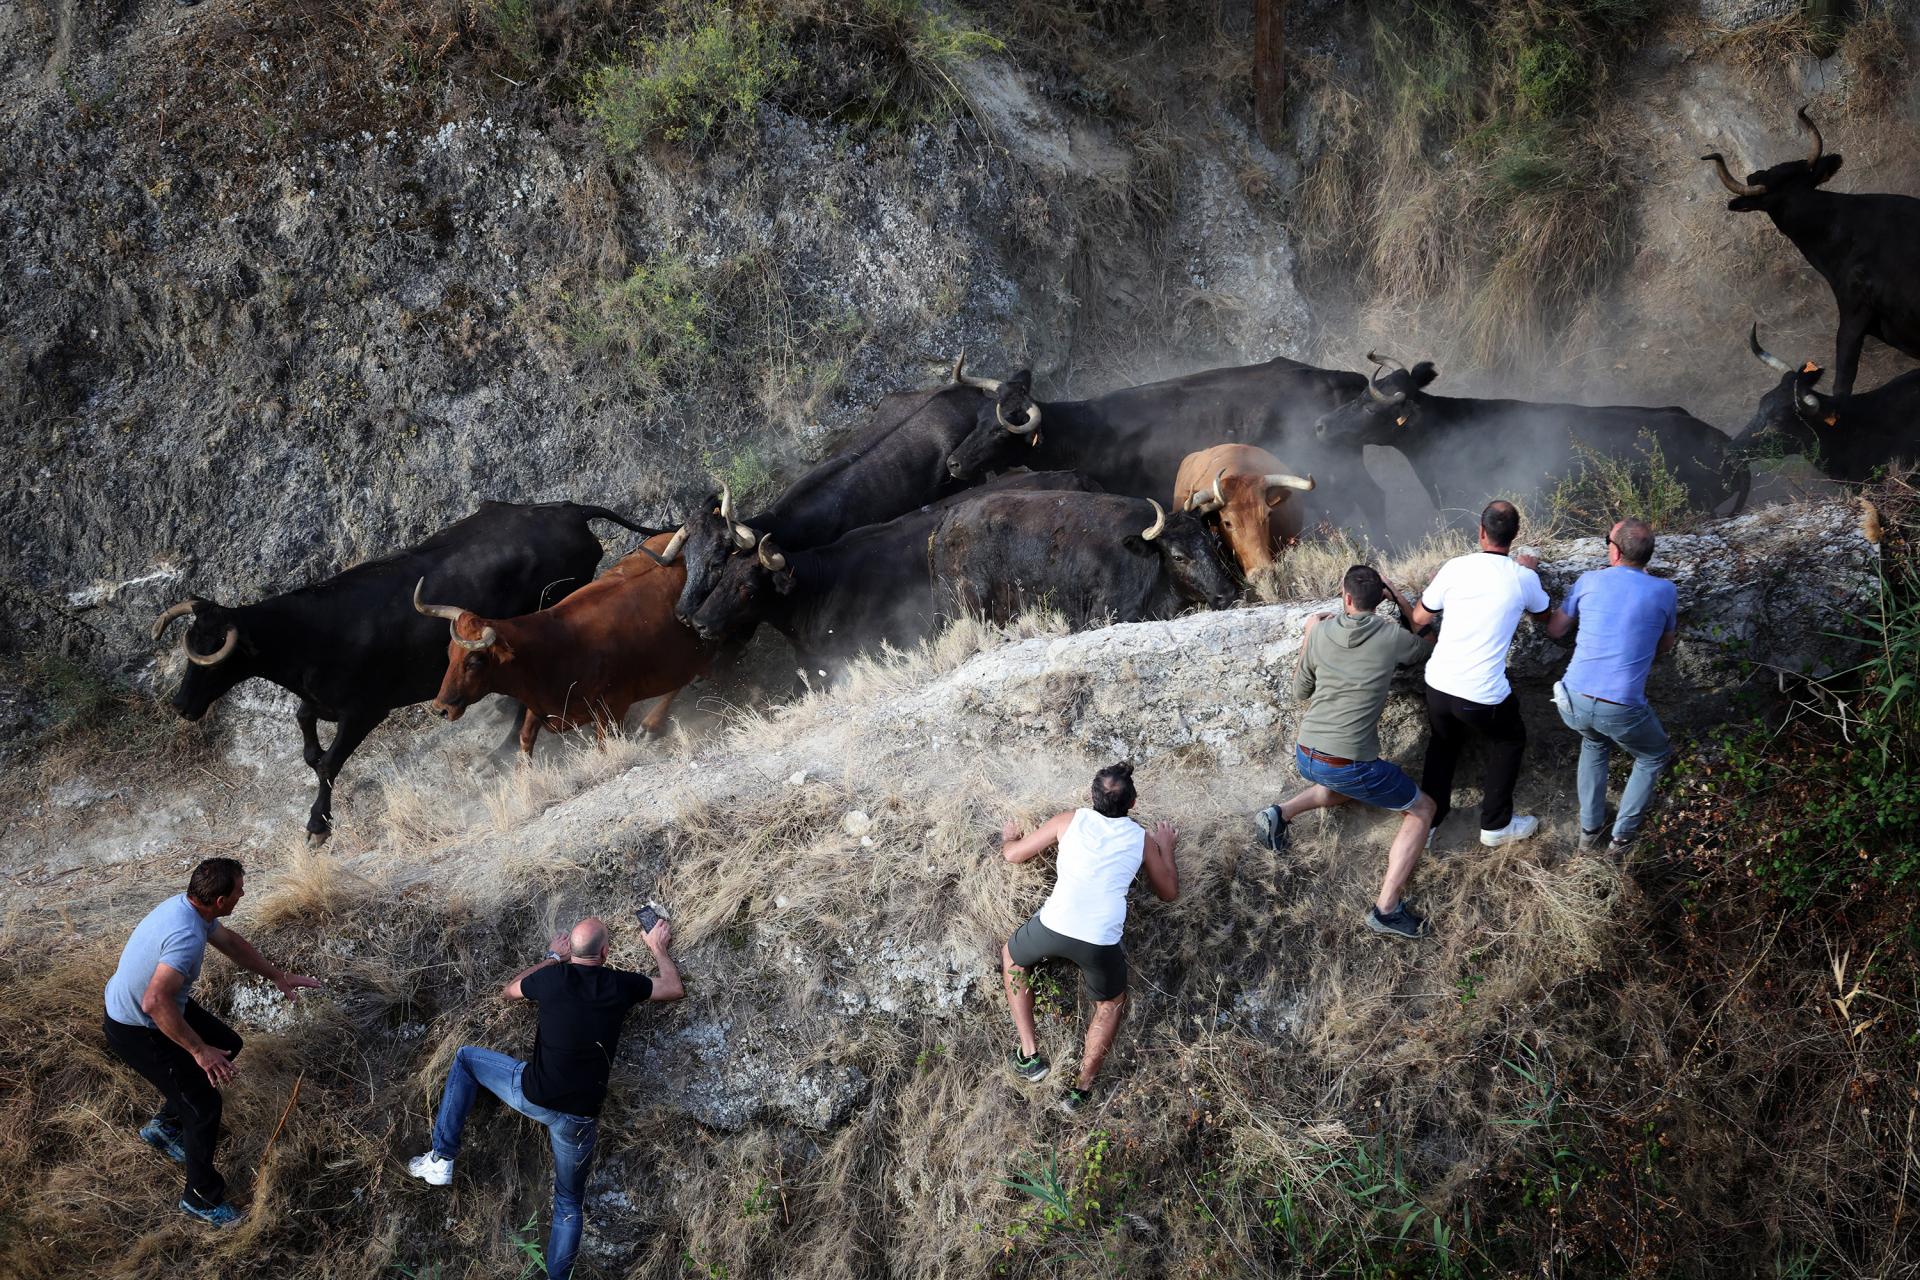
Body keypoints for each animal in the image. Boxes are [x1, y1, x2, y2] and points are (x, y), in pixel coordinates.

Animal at [149, 498, 660, 840]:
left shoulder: (365, 710)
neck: (311, 634)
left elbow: (329, 763)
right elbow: (307, 733)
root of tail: (568, 509)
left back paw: (498, 753)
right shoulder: (320, 701)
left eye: (216, 655)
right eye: (192, 644)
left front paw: (318, 825)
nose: (181, 704)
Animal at [412, 533, 714, 756]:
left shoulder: (612, 709)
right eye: (450, 654)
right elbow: (525, 739)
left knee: (686, 676)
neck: (553, 647)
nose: (441, 707)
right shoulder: (539, 706)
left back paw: (652, 724)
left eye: (474, 661)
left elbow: (603, 745)